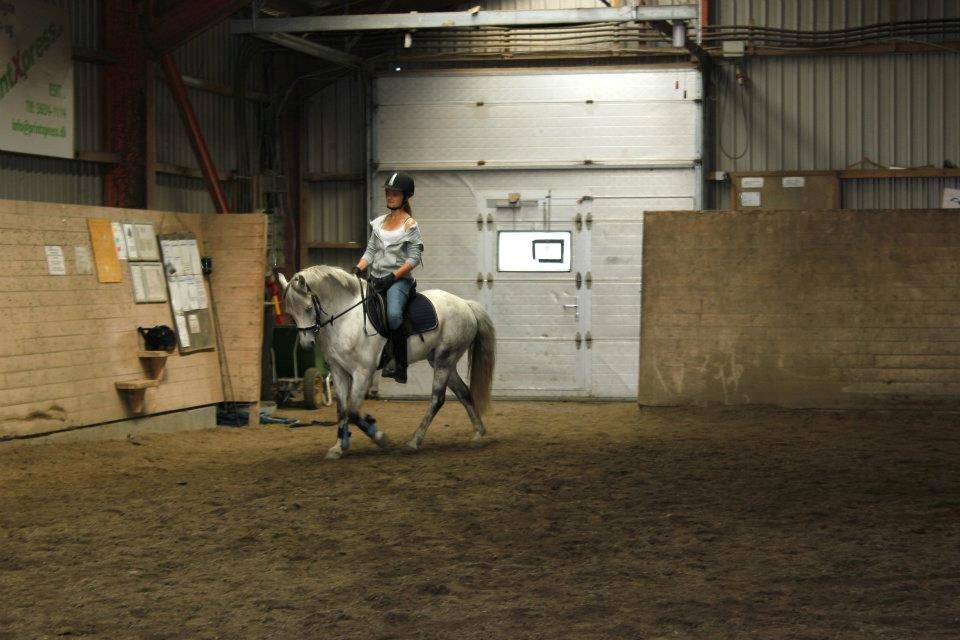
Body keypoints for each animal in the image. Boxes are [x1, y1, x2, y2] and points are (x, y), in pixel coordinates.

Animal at [278, 266, 496, 459]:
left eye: (307, 308)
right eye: (290, 312)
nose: (306, 344)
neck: (346, 319)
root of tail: (466, 304)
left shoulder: (363, 373)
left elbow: (353, 412)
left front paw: (379, 437)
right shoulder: (339, 372)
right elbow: (342, 410)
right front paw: (339, 447)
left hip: (445, 359)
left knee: (437, 399)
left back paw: (414, 442)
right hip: (441, 361)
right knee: (463, 393)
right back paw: (478, 434)